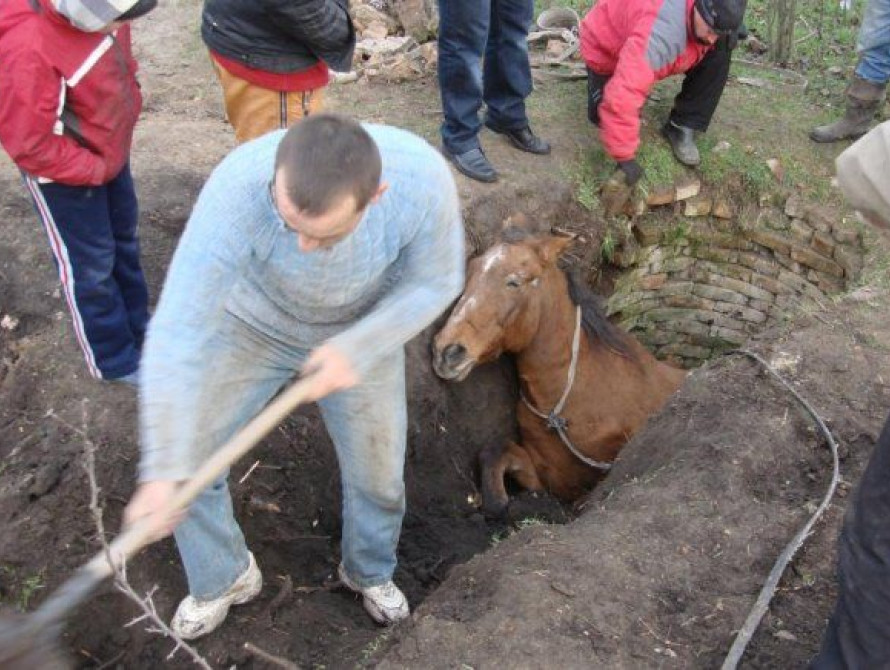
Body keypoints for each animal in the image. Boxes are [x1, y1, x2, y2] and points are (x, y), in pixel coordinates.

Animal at [432, 216, 687, 516]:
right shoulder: (546, 472)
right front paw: (499, 502)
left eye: (513, 282)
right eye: (470, 271)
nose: (446, 351)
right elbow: (495, 452)